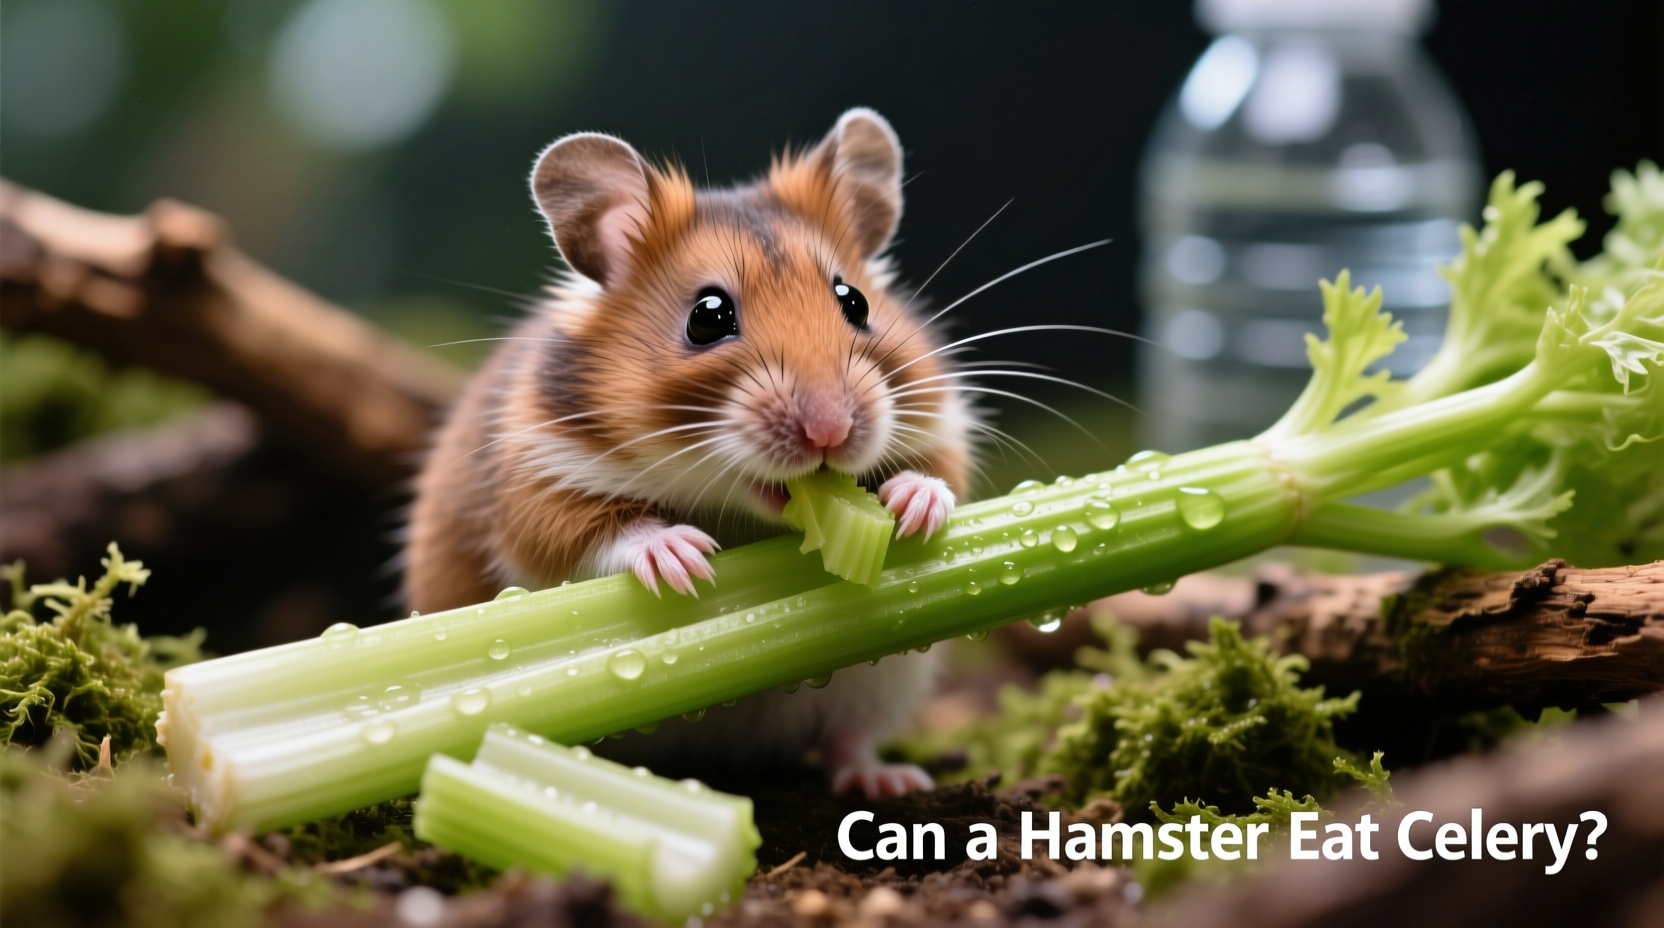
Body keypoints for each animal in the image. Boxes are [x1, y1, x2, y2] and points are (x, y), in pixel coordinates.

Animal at [404, 108, 974, 798]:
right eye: (708, 316)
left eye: (855, 302)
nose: (830, 433)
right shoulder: (532, 480)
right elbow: (586, 531)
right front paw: (685, 559)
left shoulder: (940, 424)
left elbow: (941, 473)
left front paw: (913, 506)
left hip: (883, 678)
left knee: (848, 737)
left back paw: (889, 782)